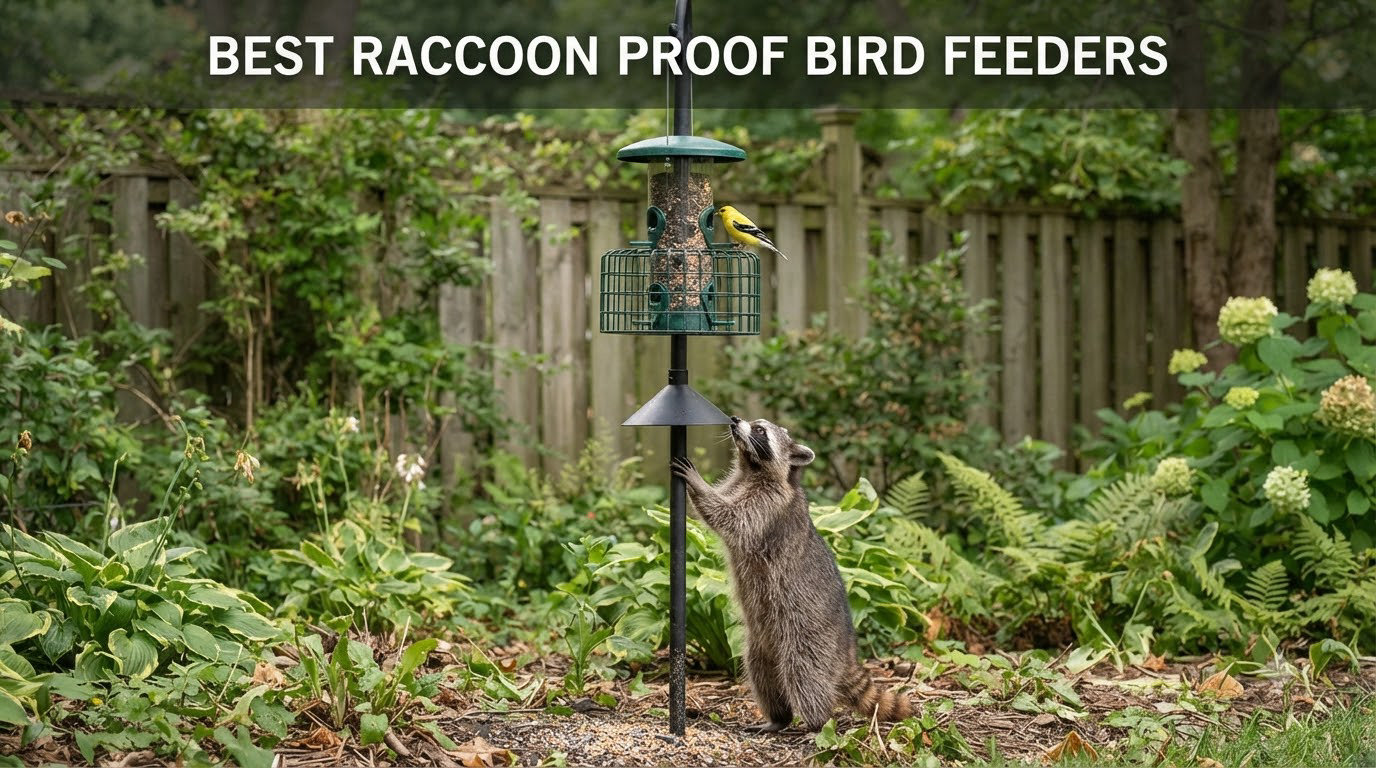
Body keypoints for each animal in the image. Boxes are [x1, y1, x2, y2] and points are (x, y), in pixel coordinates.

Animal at [671, 416, 912, 732]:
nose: (735, 420)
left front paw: (698, 484)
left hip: (808, 636)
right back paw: (778, 718)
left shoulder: (769, 505)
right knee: (760, 672)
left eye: (760, 430)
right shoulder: (739, 485)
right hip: (761, 644)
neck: (752, 468)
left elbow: (730, 517)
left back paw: (817, 722)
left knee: (805, 676)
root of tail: (846, 653)